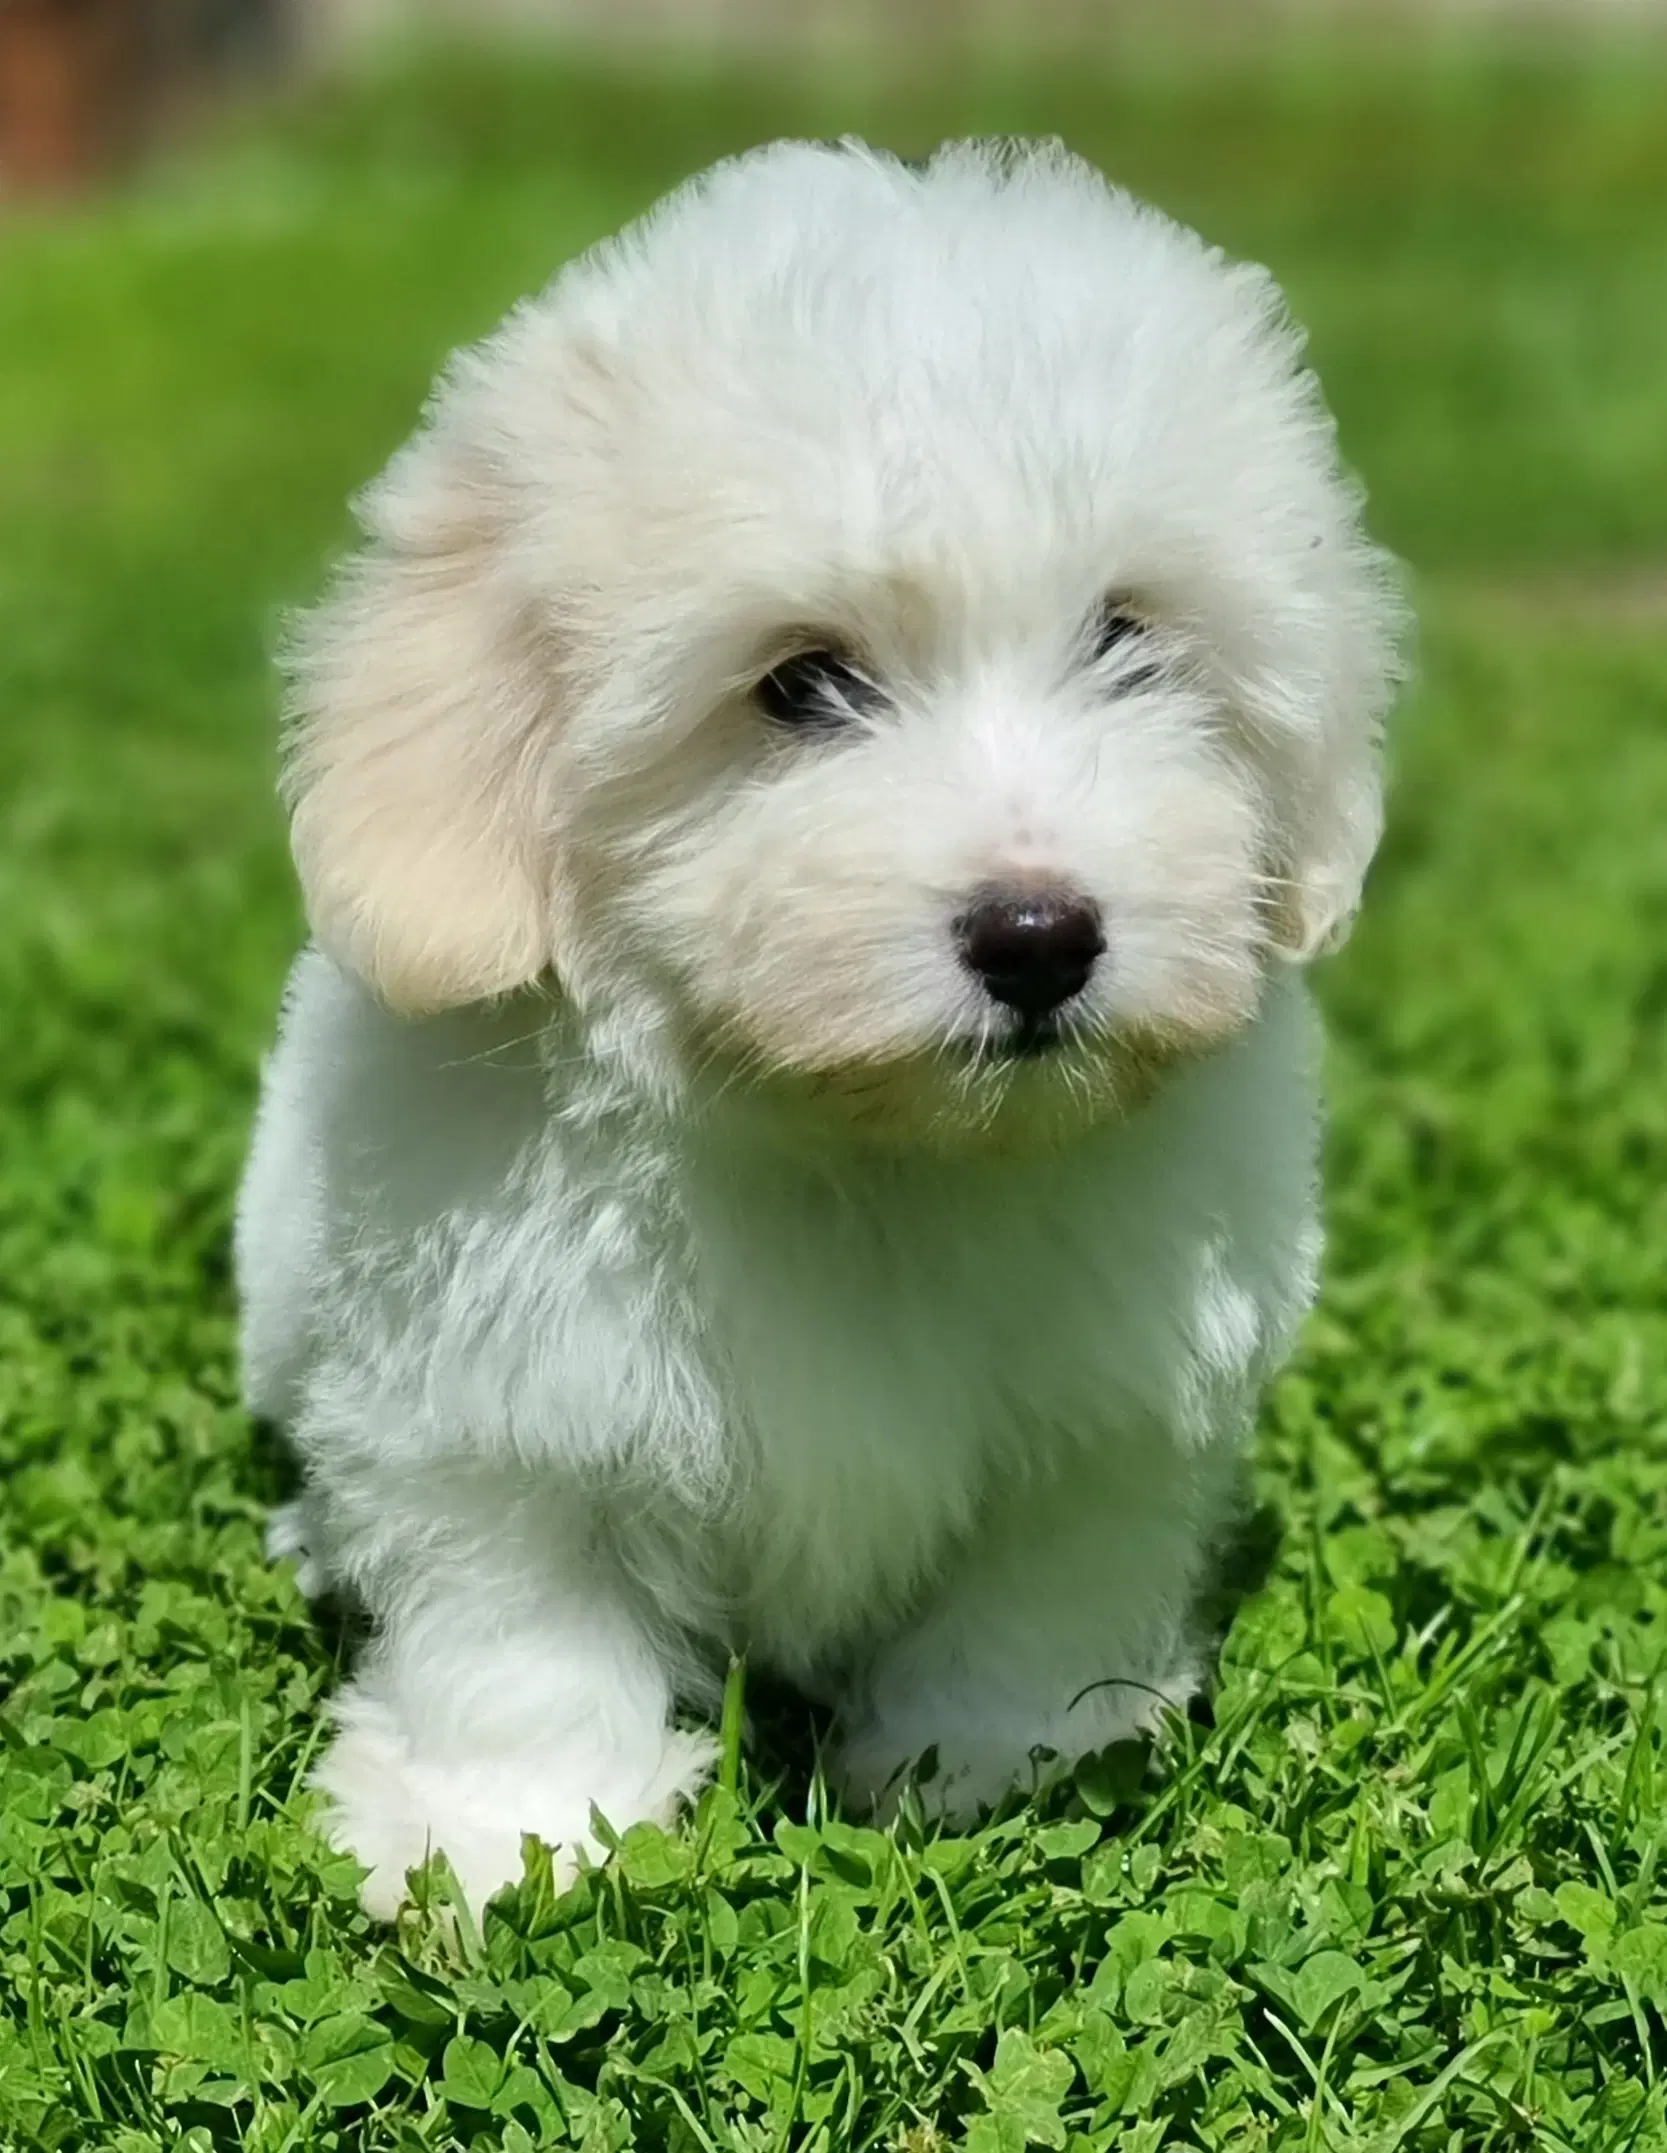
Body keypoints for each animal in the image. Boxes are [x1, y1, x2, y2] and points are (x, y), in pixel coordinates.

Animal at [237, 134, 1412, 1920]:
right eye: (797, 684)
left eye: (1125, 638)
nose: (1038, 937)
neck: (862, 1146)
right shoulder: (496, 1400)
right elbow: (514, 1619)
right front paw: (508, 1831)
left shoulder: (1106, 1410)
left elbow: (1041, 1580)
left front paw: (999, 1757)